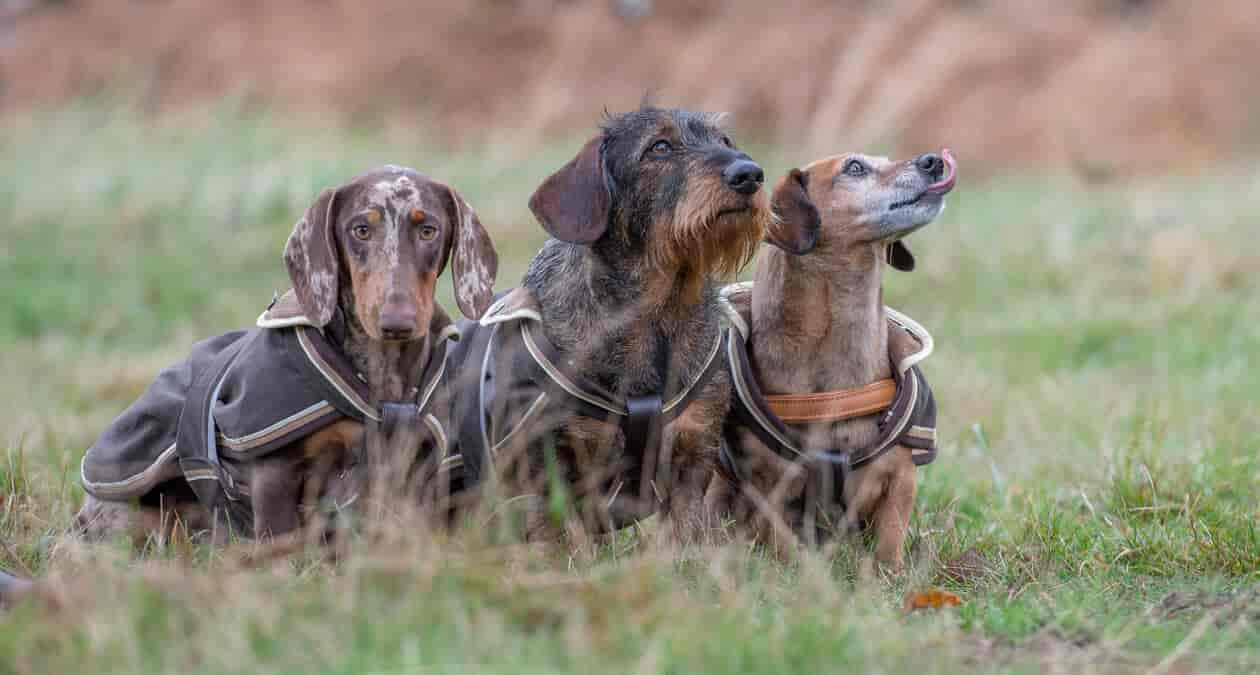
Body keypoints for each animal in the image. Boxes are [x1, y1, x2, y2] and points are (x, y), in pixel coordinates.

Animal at [451, 107, 766, 538]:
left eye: (725, 142)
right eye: (659, 147)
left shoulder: (693, 455)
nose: (749, 174)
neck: (658, 318)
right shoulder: (550, 466)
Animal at [710, 149, 952, 569]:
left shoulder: (901, 480)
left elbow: (889, 542)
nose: (933, 160)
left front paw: (889, 576)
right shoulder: (764, 487)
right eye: (854, 168)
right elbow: (782, 542)